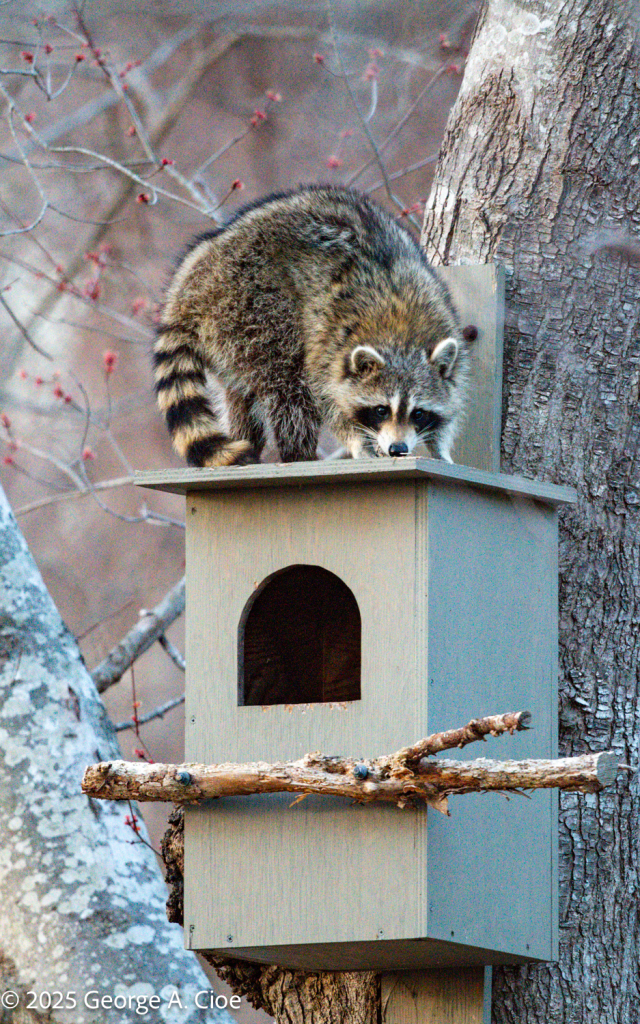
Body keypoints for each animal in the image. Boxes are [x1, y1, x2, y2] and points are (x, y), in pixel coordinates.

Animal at [153, 185, 474, 466]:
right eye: (381, 410)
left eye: (419, 413)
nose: (398, 448)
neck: (400, 330)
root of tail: (188, 290)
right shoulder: (329, 336)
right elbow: (324, 397)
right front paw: (357, 441)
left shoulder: (439, 308)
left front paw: (440, 447)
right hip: (251, 301)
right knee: (287, 384)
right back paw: (298, 453)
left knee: (242, 393)